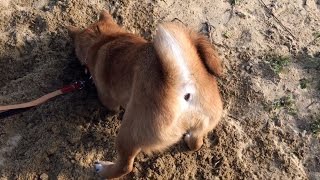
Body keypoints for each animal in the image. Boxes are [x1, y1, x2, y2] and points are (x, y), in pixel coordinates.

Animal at [67, 10, 222, 179]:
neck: (105, 39)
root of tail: (185, 90)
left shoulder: (107, 99)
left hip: (129, 134)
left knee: (125, 166)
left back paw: (104, 169)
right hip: (204, 122)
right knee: (196, 143)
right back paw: (189, 139)